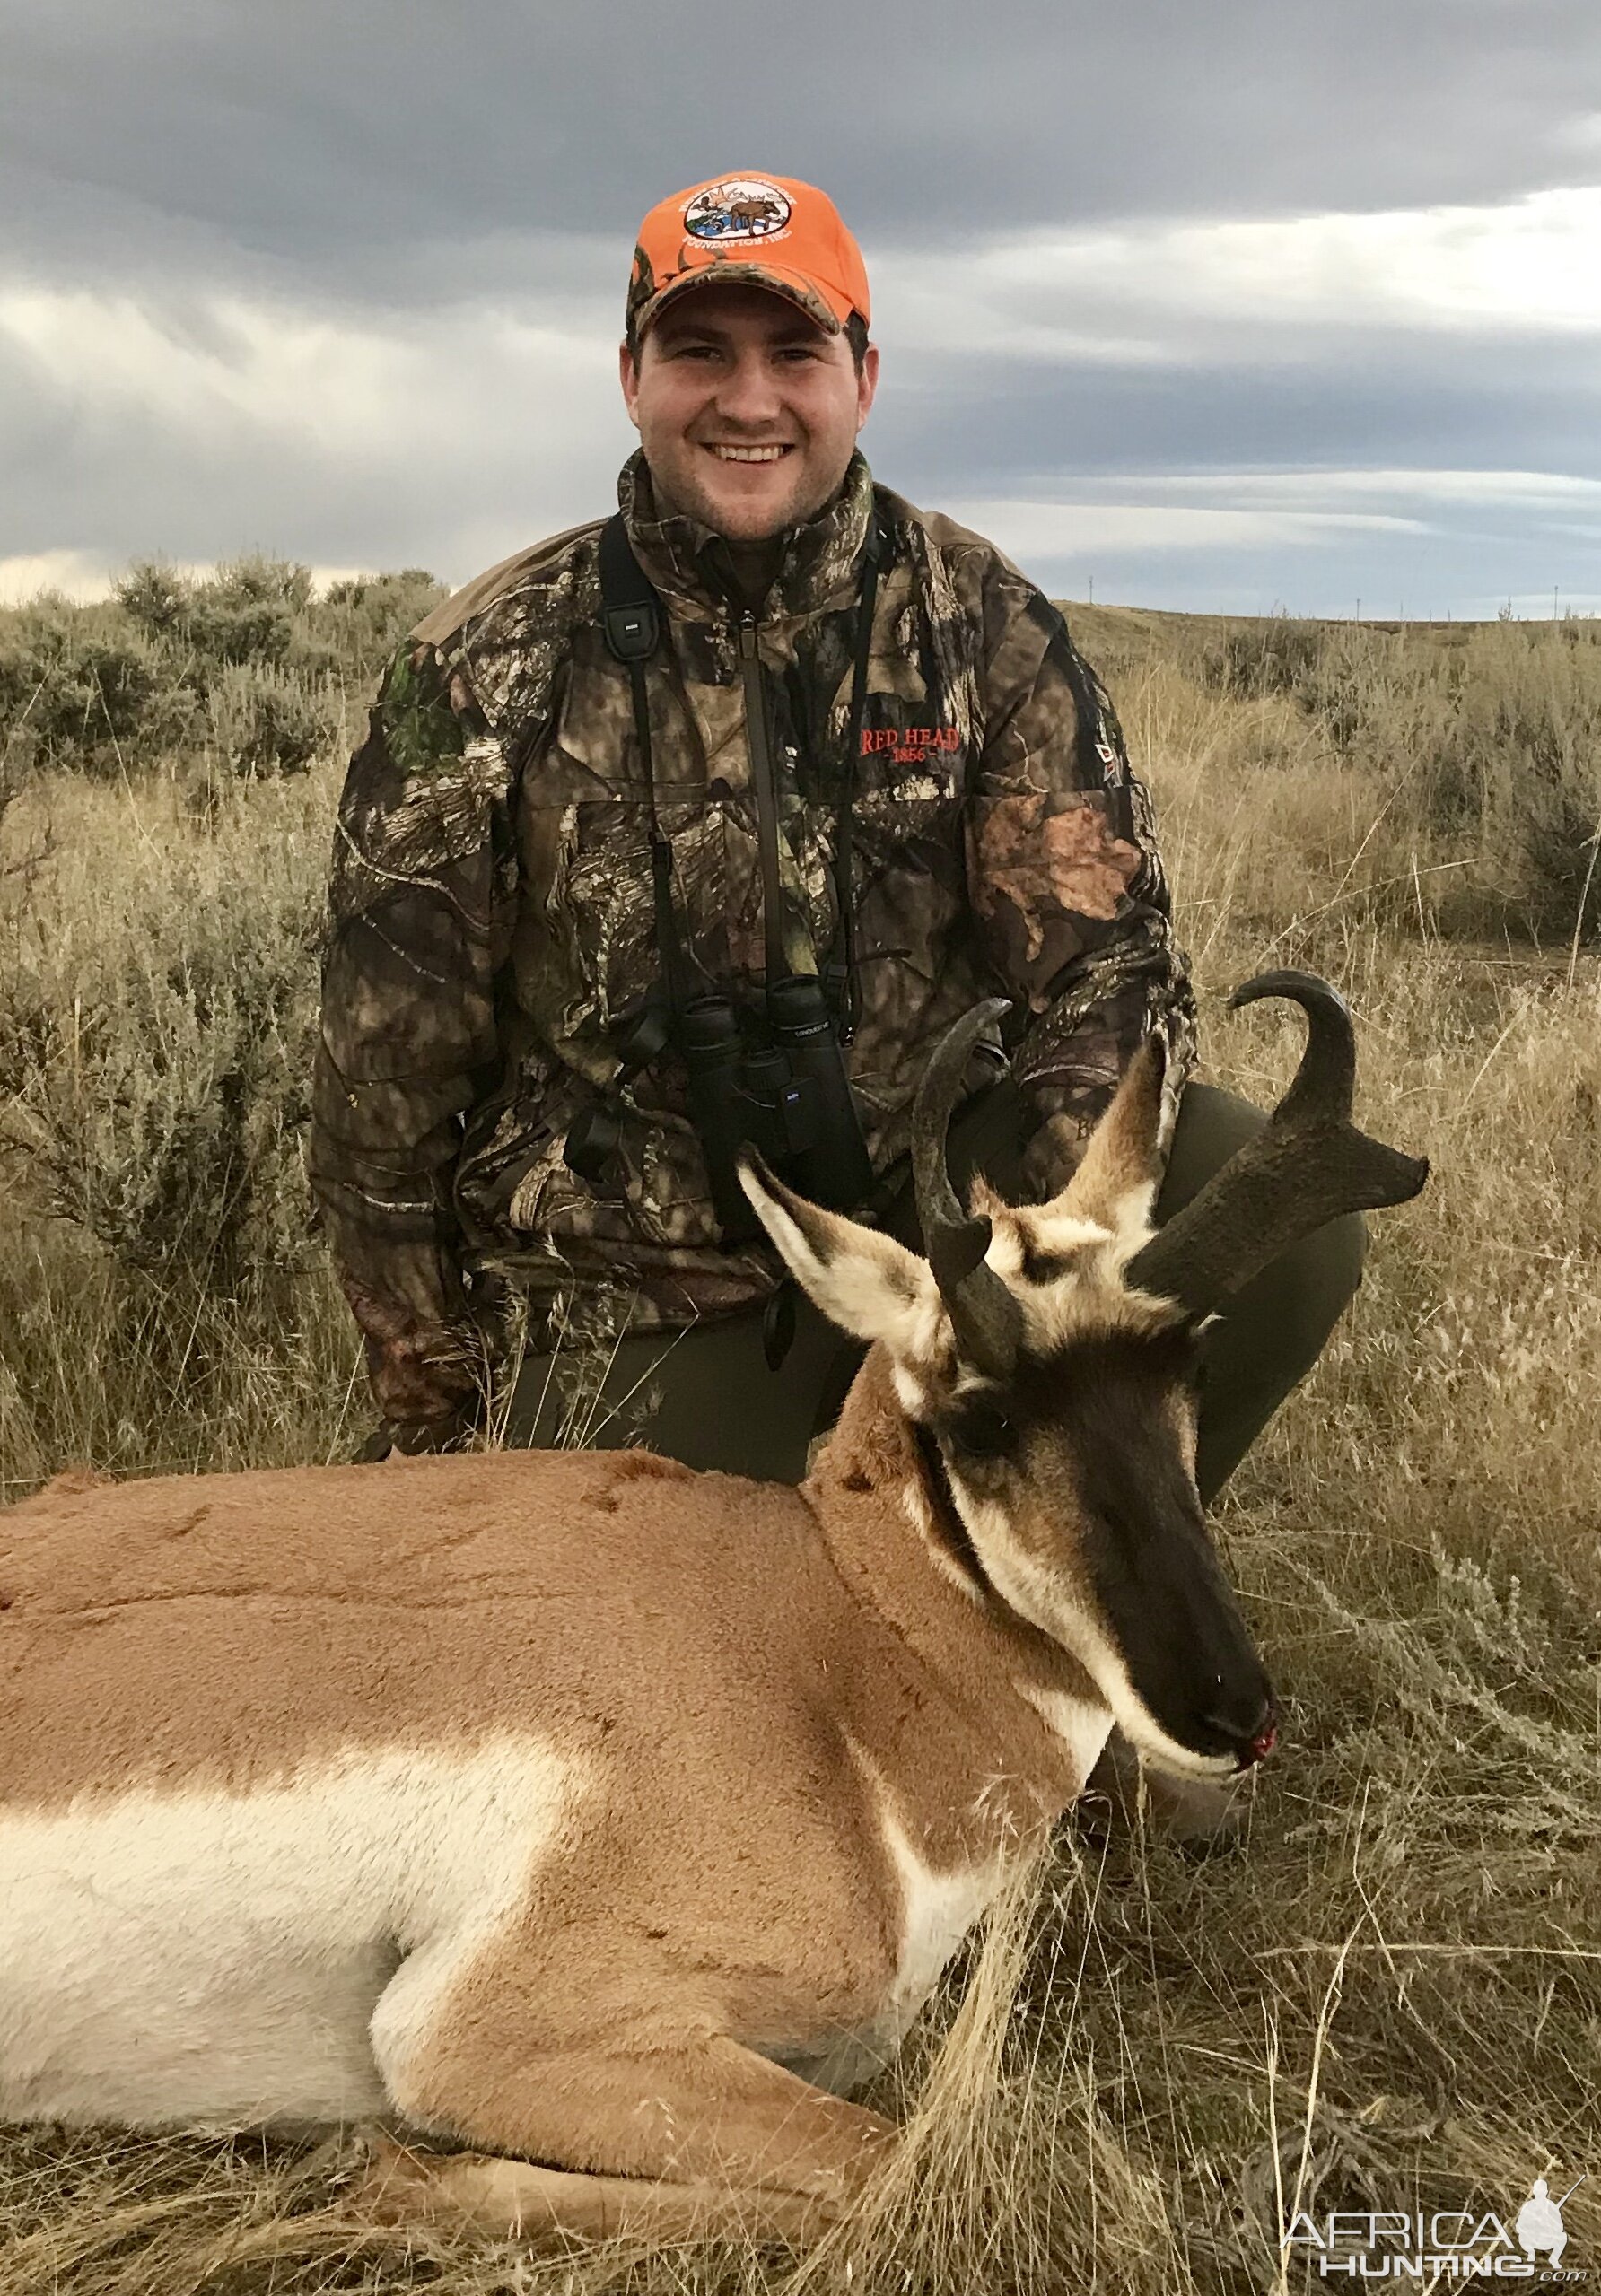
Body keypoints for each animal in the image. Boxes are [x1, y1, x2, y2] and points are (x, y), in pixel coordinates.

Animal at [0, 968, 1423, 2240]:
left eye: (1187, 1367)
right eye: (981, 1415)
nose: (1231, 1710)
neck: (826, 1649)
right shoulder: (488, 2030)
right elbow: (894, 2160)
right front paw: (409, 2180)